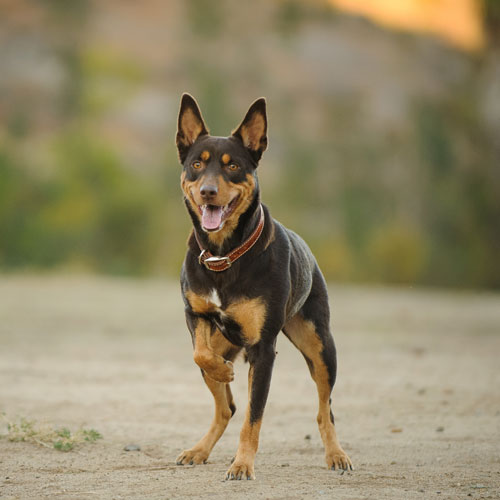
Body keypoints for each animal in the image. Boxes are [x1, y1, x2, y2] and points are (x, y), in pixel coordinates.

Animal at [175, 94, 352, 480]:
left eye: (233, 167)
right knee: (226, 407)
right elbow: (200, 353)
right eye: (197, 164)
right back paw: (199, 449)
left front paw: (242, 464)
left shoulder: (264, 351)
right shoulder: (195, 316)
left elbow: (254, 419)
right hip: (226, 346)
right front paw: (223, 371)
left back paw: (337, 455)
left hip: (320, 346)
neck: (225, 254)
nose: (208, 191)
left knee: (325, 408)